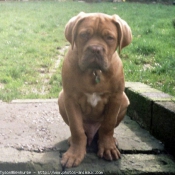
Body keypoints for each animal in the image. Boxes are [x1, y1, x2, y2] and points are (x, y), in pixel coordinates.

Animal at [58, 11, 132, 167]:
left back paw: (112, 141)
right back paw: (73, 140)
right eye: (84, 35)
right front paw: (75, 154)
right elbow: (76, 128)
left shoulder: (116, 97)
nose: (95, 49)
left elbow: (108, 125)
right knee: (82, 132)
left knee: (104, 130)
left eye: (109, 38)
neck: (94, 71)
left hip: (124, 100)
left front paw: (108, 148)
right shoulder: (70, 98)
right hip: (61, 99)